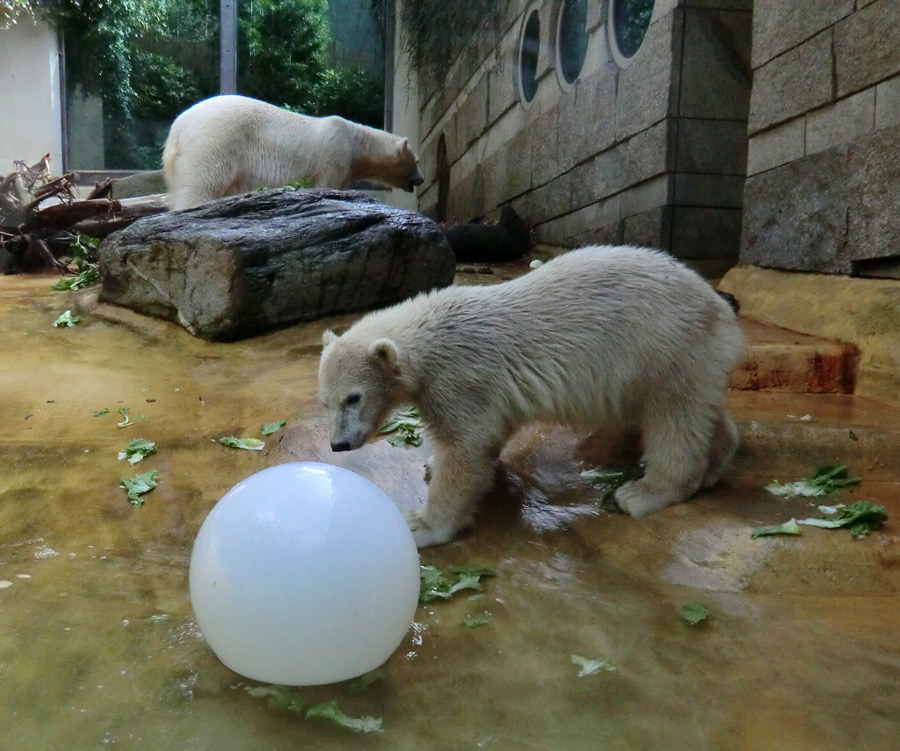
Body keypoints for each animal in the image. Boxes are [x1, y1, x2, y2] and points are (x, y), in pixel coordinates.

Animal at [163, 95, 426, 212]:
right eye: (416, 160)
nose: (422, 179)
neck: (357, 142)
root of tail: (178, 126)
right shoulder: (334, 155)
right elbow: (326, 184)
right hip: (217, 141)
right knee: (203, 184)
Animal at [318, 245, 744, 548]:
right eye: (326, 401)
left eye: (353, 398)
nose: (338, 444)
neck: (429, 332)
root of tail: (719, 305)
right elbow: (490, 433)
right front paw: (432, 465)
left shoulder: (460, 376)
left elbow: (467, 444)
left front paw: (421, 524)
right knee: (698, 410)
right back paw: (716, 462)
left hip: (663, 346)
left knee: (673, 417)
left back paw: (646, 491)